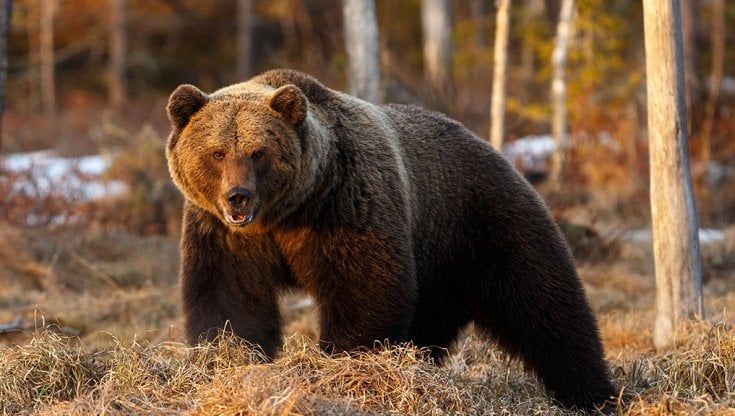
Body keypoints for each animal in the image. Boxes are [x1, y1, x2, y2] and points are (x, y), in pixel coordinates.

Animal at [165, 69, 616, 410]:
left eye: (259, 152)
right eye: (217, 152)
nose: (237, 196)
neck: (285, 213)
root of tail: (497, 150)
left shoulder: (347, 203)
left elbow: (363, 289)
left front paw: (344, 367)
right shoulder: (225, 234)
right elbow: (229, 298)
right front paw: (229, 359)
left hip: (483, 222)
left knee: (545, 305)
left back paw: (592, 393)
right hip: (438, 270)